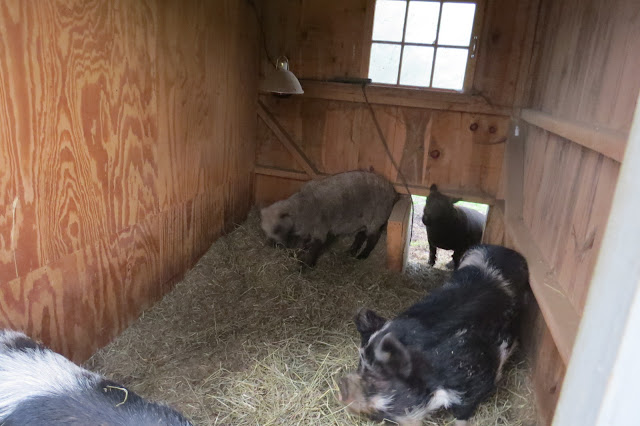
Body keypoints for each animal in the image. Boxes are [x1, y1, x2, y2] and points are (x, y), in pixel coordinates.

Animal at [260, 170, 398, 267]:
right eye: (265, 231)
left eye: (277, 228)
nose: (274, 245)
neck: (301, 208)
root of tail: (392, 190)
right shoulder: (305, 230)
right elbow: (301, 244)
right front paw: (295, 254)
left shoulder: (319, 229)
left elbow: (315, 248)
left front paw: (306, 266)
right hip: (363, 219)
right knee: (361, 235)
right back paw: (351, 251)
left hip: (376, 218)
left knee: (372, 239)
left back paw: (362, 255)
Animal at [338, 244, 529, 426]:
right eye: (360, 365)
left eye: (379, 378)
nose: (342, 386)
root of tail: (504, 249)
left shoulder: (479, 377)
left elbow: (463, 413)